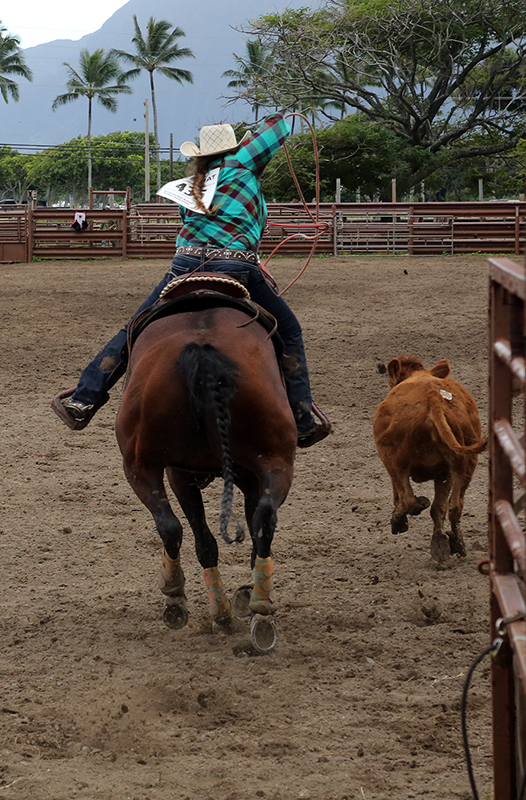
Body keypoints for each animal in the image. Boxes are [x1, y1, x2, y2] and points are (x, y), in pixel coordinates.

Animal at [114, 278, 300, 652]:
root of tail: (201, 349)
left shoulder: (181, 472)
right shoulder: (241, 474)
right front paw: (240, 599)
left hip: (143, 466)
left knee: (173, 527)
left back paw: (181, 598)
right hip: (275, 460)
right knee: (262, 521)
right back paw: (258, 608)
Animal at [376, 354, 486, 564]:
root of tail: (433, 398)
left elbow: (401, 496)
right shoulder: (444, 472)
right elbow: (440, 508)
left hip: (392, 459)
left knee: (407, 498)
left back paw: (400, 520)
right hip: (463, 463)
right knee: (453, 506)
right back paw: (451, 543)